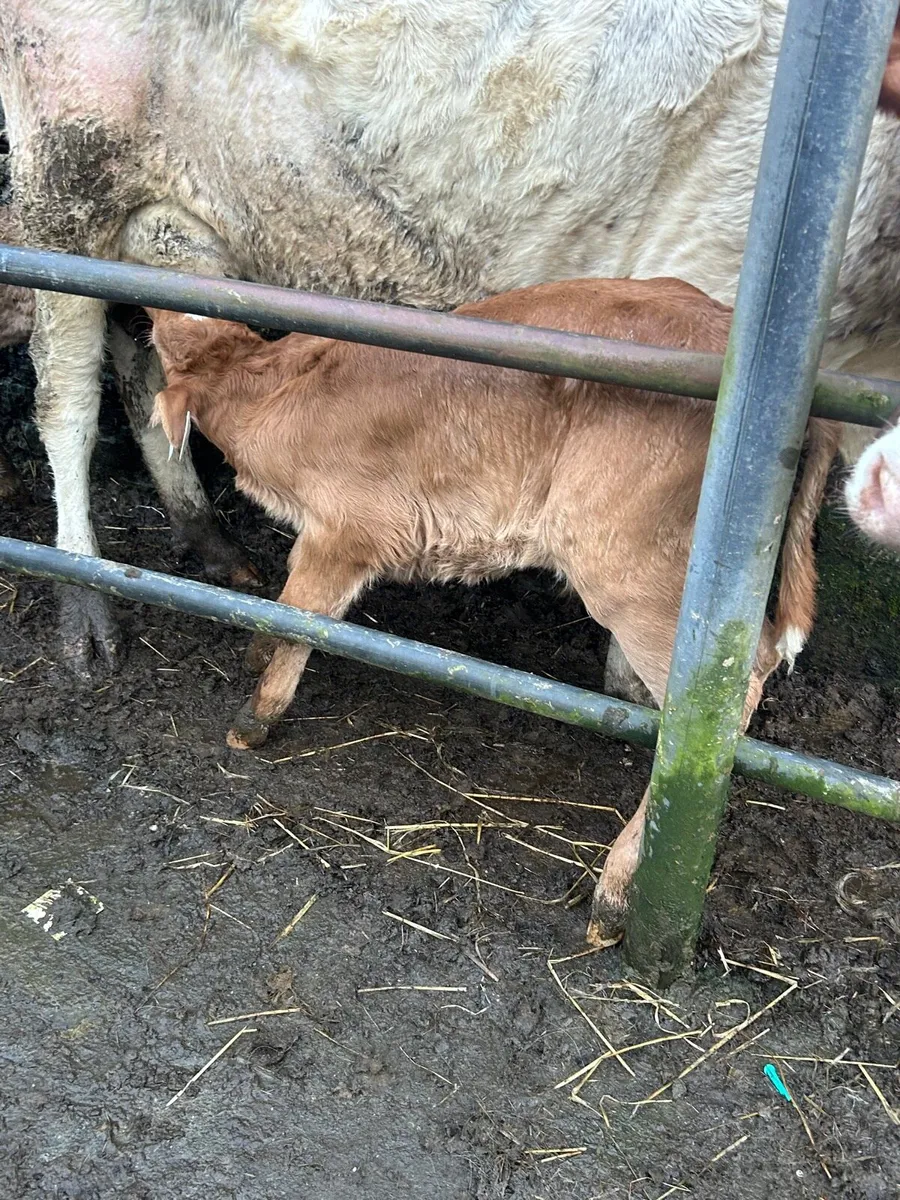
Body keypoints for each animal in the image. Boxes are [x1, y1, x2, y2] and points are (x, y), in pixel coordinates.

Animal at [145, 275, 842, 939]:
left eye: (164, 344)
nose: (145, 311)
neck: (270, 390)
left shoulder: (344, 533)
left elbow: (298, 620)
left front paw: (253, 718)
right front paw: (253, 651)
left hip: (632, 569)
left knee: (725, 695)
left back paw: (616, 895)